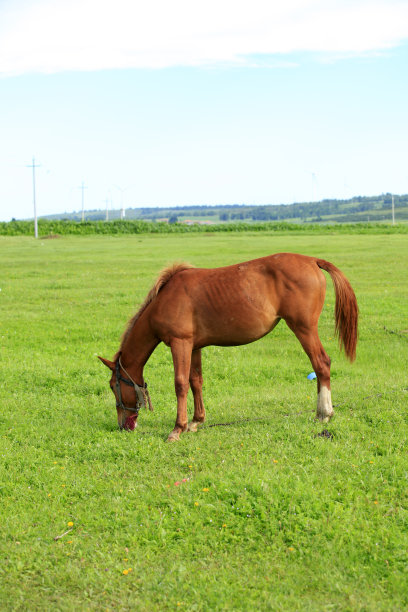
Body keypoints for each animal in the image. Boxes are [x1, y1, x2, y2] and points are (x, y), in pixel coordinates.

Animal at [99, 252, 356, 440]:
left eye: (113, 386)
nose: (123, 425)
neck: (164, 299)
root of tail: (312, 260)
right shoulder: (194, 346)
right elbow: (196, 381)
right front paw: (196, 422)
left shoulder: (180, 344)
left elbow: (180, 384)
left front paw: (177, 428)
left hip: (304, 328)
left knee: (321, 364)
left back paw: (324, 413)